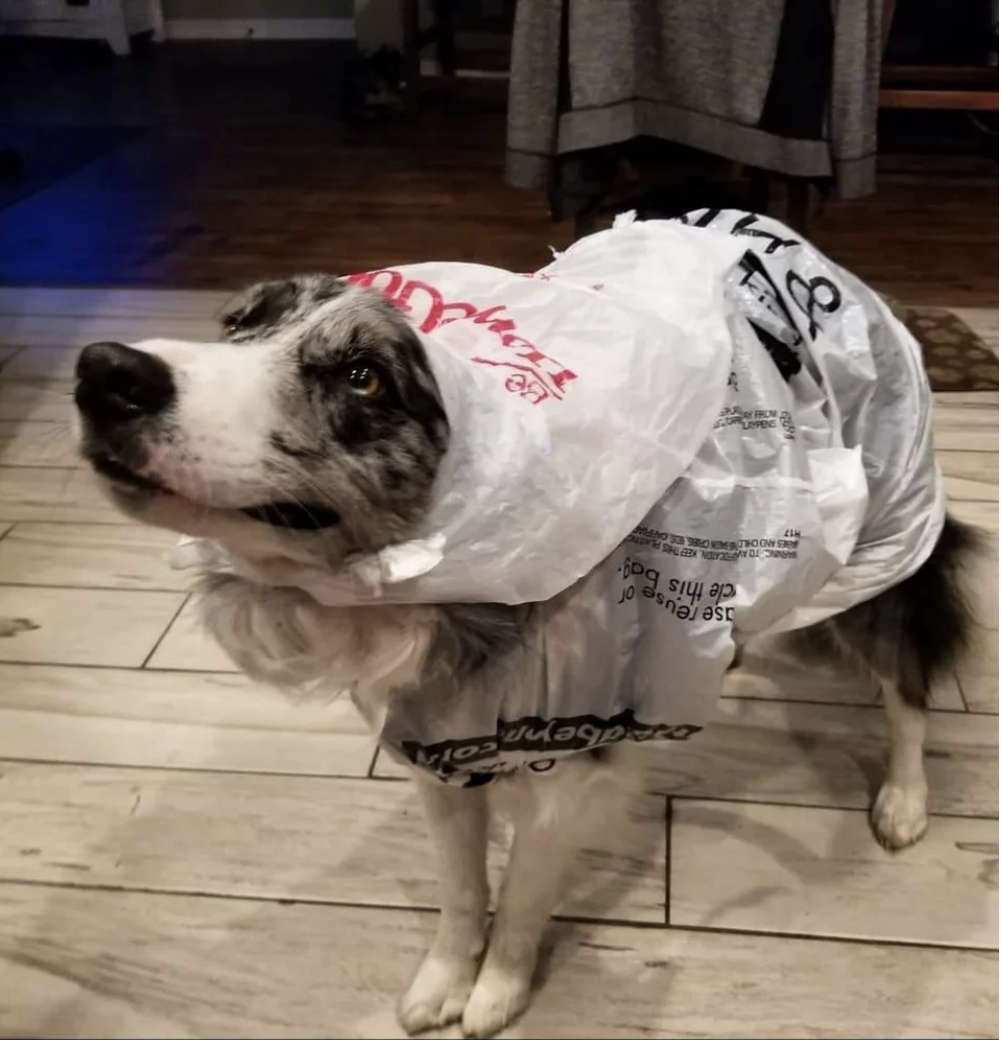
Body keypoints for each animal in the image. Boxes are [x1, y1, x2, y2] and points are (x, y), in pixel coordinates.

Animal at [76, 266, 978, 1031]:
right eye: (237, 324)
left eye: (365, 377)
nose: (105, 372)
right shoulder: (438, 741)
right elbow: (459, 888)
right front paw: (444, 981)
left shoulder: (565, 761)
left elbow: (516, 898)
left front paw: (497, 994)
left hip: (884, 543)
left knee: (907, 684)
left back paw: (904, 800)